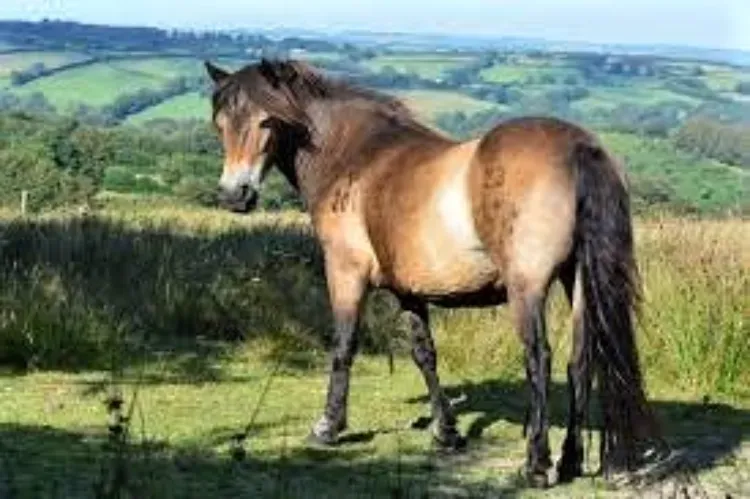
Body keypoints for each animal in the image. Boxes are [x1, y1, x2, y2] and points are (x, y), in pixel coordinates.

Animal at [204, 58, 664, 488]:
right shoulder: (409, 292)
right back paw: (569, 460)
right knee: (580, 362)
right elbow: (424, 354)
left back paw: (535, 464)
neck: (358, 157)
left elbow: (343, 346)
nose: (234, 195)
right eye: (221, 122)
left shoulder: (345, 272)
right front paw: (446, 432)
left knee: (540, 359)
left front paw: (328, 427)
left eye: (267, 120)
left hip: (527, 288)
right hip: (579, 282)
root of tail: (579, 148)